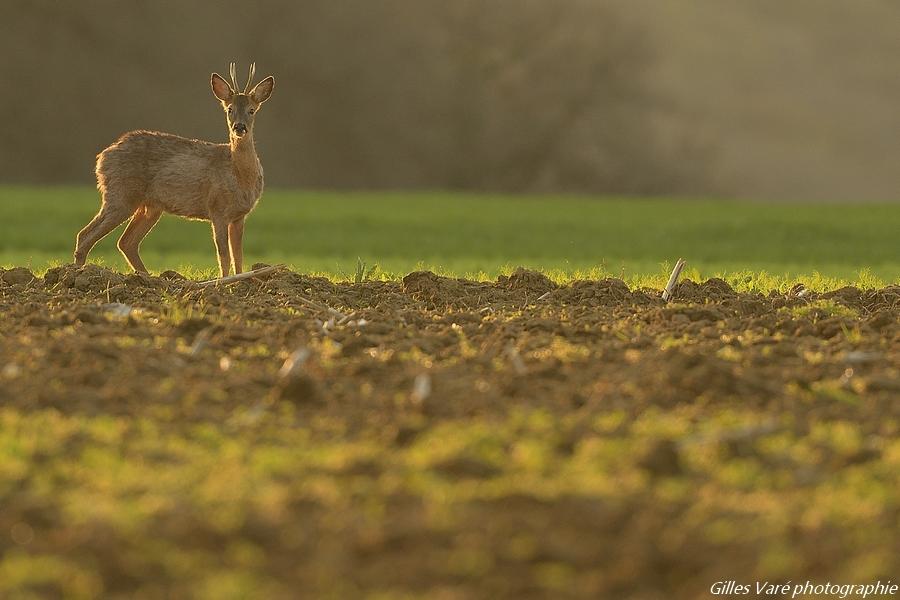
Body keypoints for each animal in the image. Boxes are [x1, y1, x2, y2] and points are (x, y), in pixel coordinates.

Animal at [74, 63, 274, 276]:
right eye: (230, 109)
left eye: (252, 110)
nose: (239, 127)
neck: (240, 176)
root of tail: (103, 156)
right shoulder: (217, 209)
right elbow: (224, 256)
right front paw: (223, 281)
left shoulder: (239, 216)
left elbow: (238, 257)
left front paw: (241, 279)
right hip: (121, 194)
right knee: (86, 235)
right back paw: (77, 272)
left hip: (150, 206)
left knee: (126, 242)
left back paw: (147, 276)